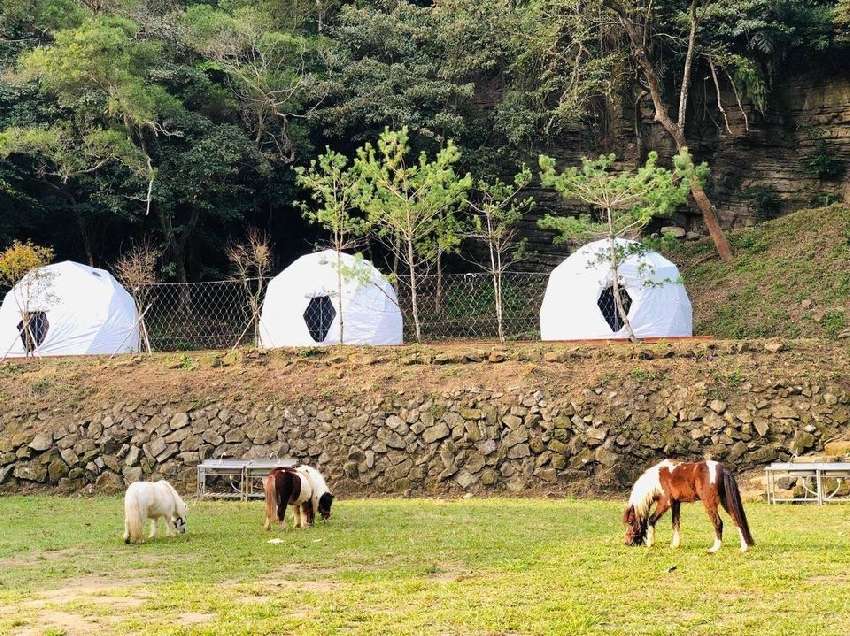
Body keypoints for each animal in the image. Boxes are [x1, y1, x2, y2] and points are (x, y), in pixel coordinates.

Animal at [620, 460, 752, 556]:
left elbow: (651, 519)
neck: (656, 480)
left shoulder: (665, 502)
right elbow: (675, 523)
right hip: (726, 502)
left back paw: (714, 549)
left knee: (718, 523)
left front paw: (650, 543)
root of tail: (722, 469)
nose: (626, 542)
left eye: (630, 522)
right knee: (737, 520)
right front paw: (675, 545)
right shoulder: (676, 503)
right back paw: (743, 548)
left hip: (709, 503)